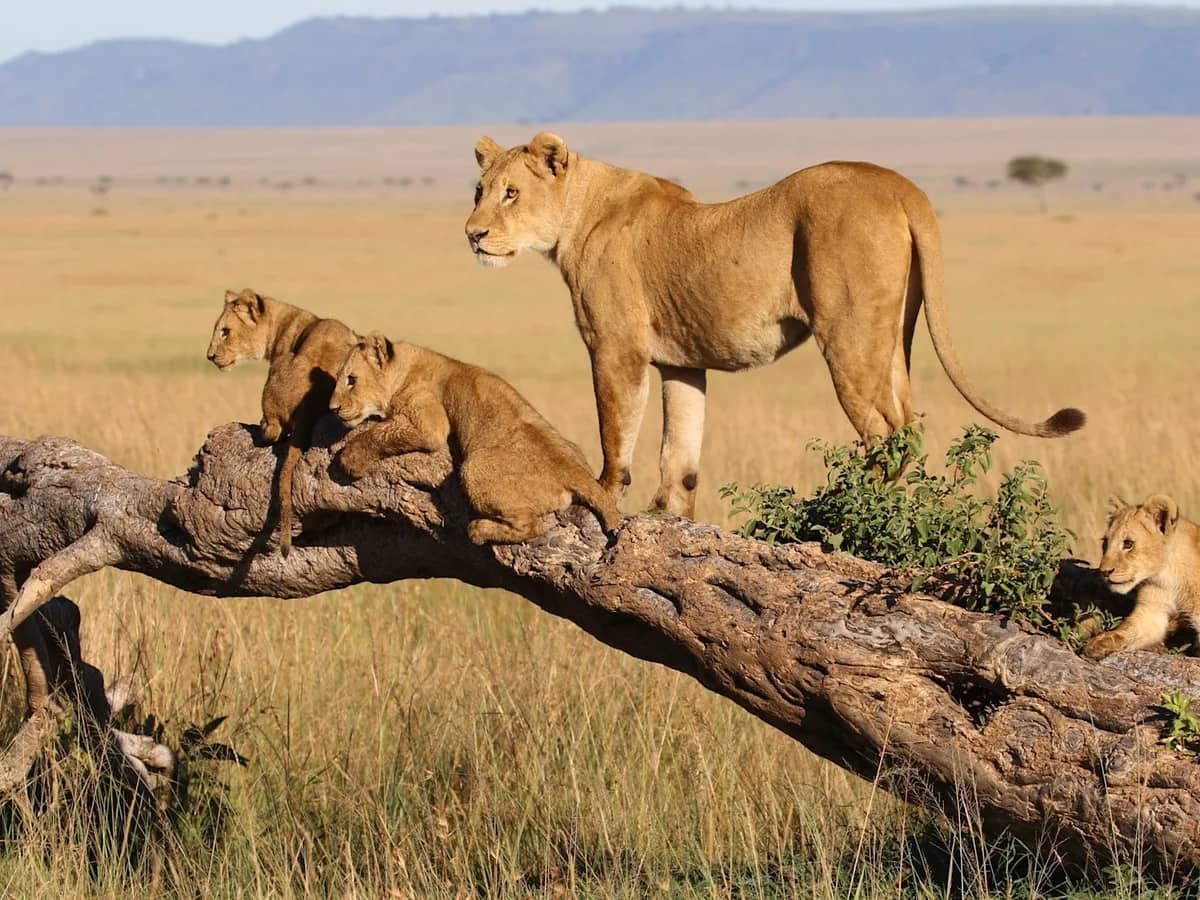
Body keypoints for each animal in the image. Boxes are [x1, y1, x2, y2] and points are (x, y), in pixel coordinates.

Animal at [207, 289, 358, 556]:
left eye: (225, 331)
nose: (210, 356)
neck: (285, 323)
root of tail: (307, 409)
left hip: (278, 369)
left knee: (274, 432)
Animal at [329, 332, 621, 544]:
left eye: (351, 379)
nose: (332, 408)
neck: (405, 368)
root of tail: (574, 470)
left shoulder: (429, 422)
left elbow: (380, 433)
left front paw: (350, 459)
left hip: (473, 468)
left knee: (532, 525)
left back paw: (479, 530)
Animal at [464, 132, 1086, 517]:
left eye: (511, 193)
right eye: (479, 191)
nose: (472, 234)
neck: (576, 216)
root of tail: (898, 184)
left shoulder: (617, 347)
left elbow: (615, 435)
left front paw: (604, 495)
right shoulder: (681, 364)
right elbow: (680, 455)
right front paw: (670, 517)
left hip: (848, 335)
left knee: (885, 432)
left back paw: (857, 514)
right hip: (893, 336)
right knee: (909, 423)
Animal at [1083, 495, 1200, 660]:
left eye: (1128, 543)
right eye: (1105, 542)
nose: (1104, 572)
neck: (1168, 576)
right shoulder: (1151, 610)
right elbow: (1127, 629)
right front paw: (1098, 643)